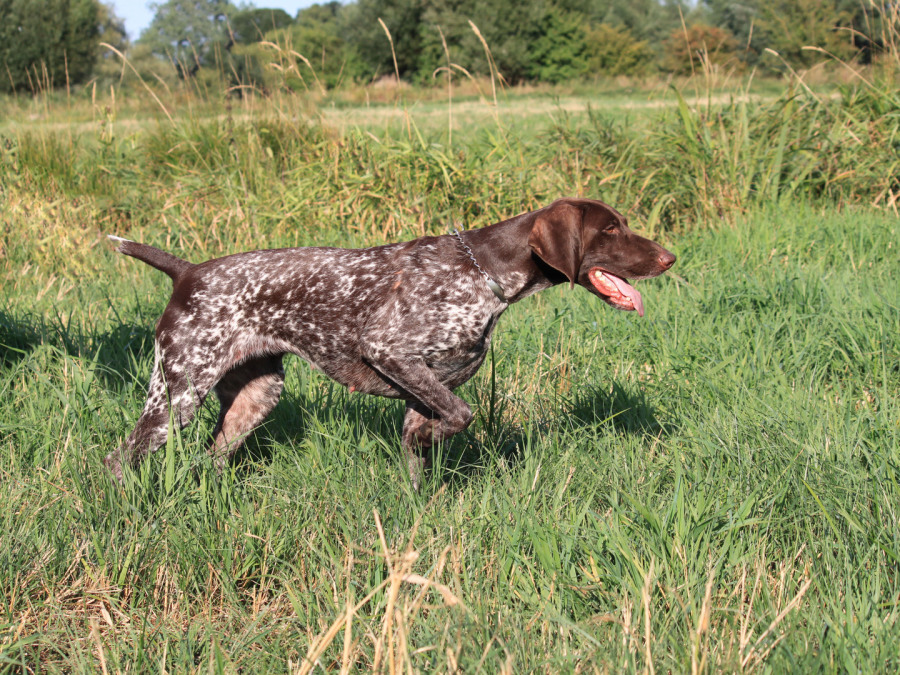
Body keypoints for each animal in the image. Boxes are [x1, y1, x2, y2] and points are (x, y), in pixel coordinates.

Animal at [105, 198, 675, 488]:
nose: (670, 258)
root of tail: (188, 271)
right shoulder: (390, 353)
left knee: (210, 458)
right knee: (120, 459)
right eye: (610, 230)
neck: (484, 272)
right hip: (176, 395)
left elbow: (421, 451)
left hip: (255, 397)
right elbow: (460, 415)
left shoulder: (422, 390)